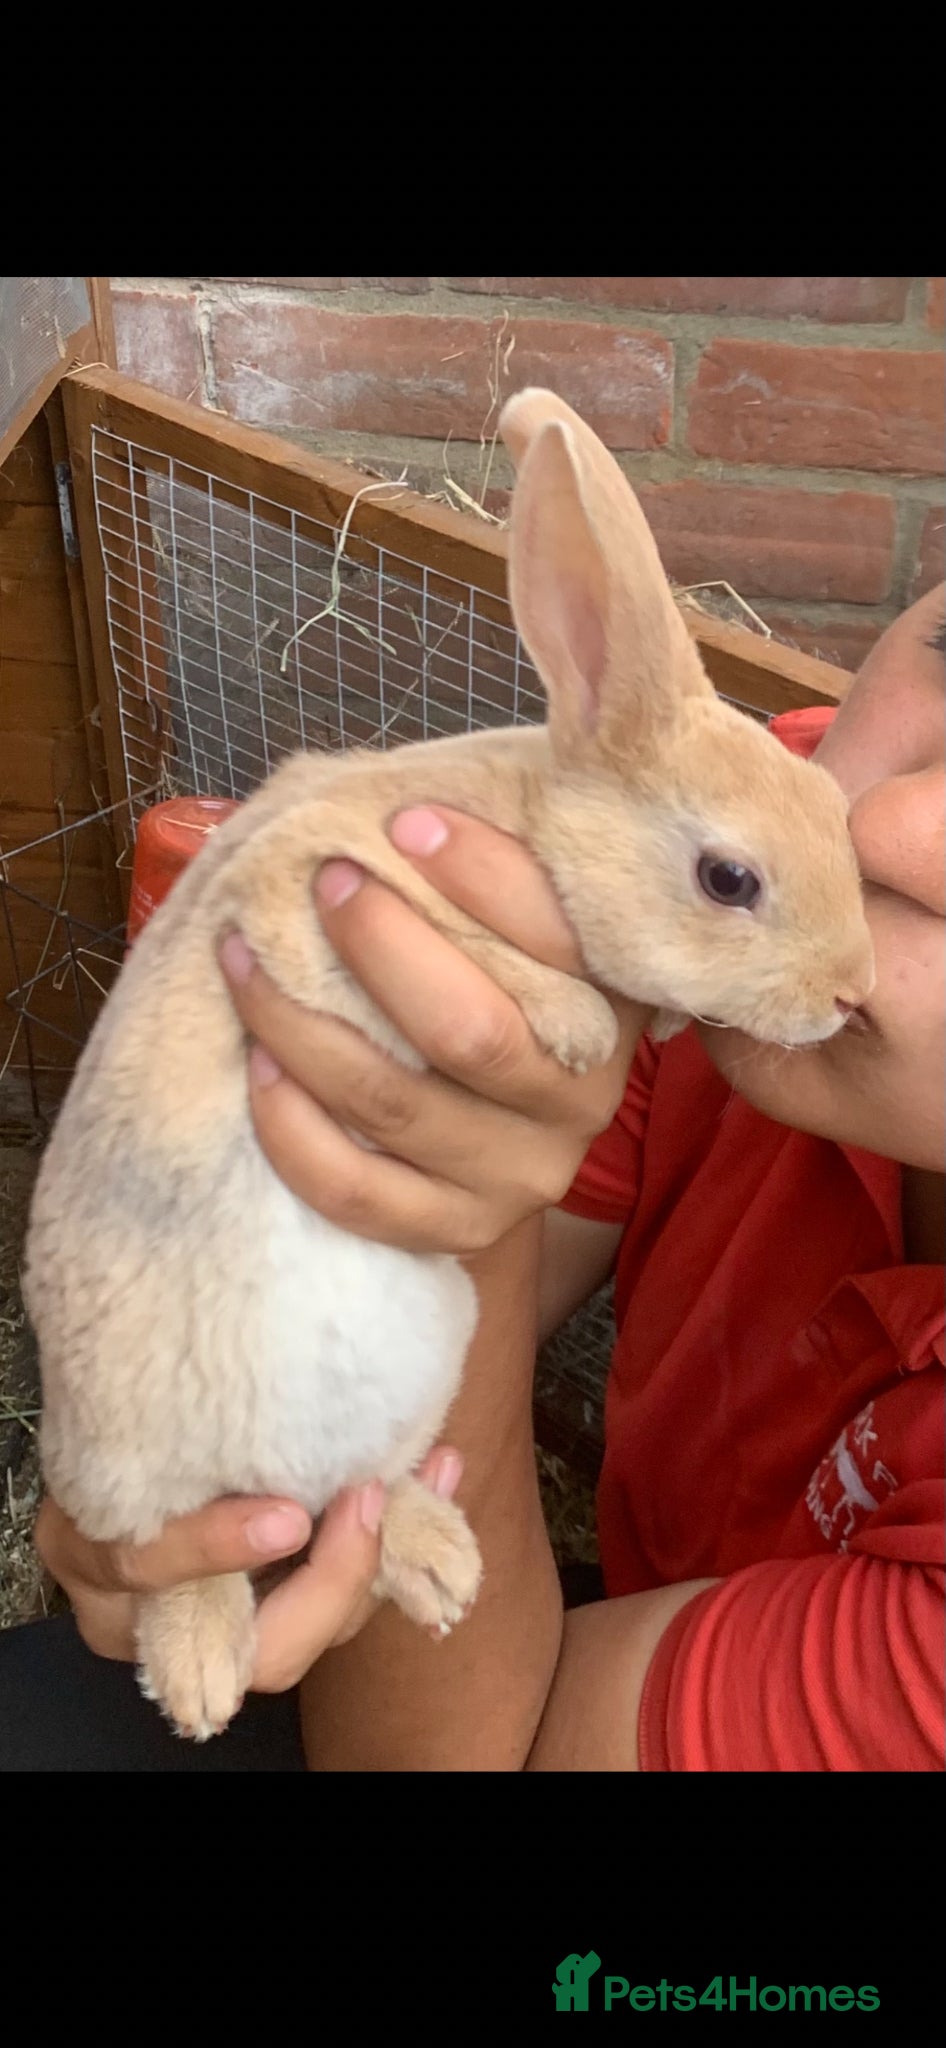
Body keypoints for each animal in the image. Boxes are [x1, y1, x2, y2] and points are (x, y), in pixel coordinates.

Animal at [23, 388, 875, 1740]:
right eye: (729, 878)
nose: (853, 992)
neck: (537, 824)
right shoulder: (326, 895)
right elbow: (496, 956)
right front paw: (579, 1022)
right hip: (123, 1461)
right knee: (179, 1560)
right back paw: (204, 1674)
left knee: (360, 1501)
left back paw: (438, 1562)